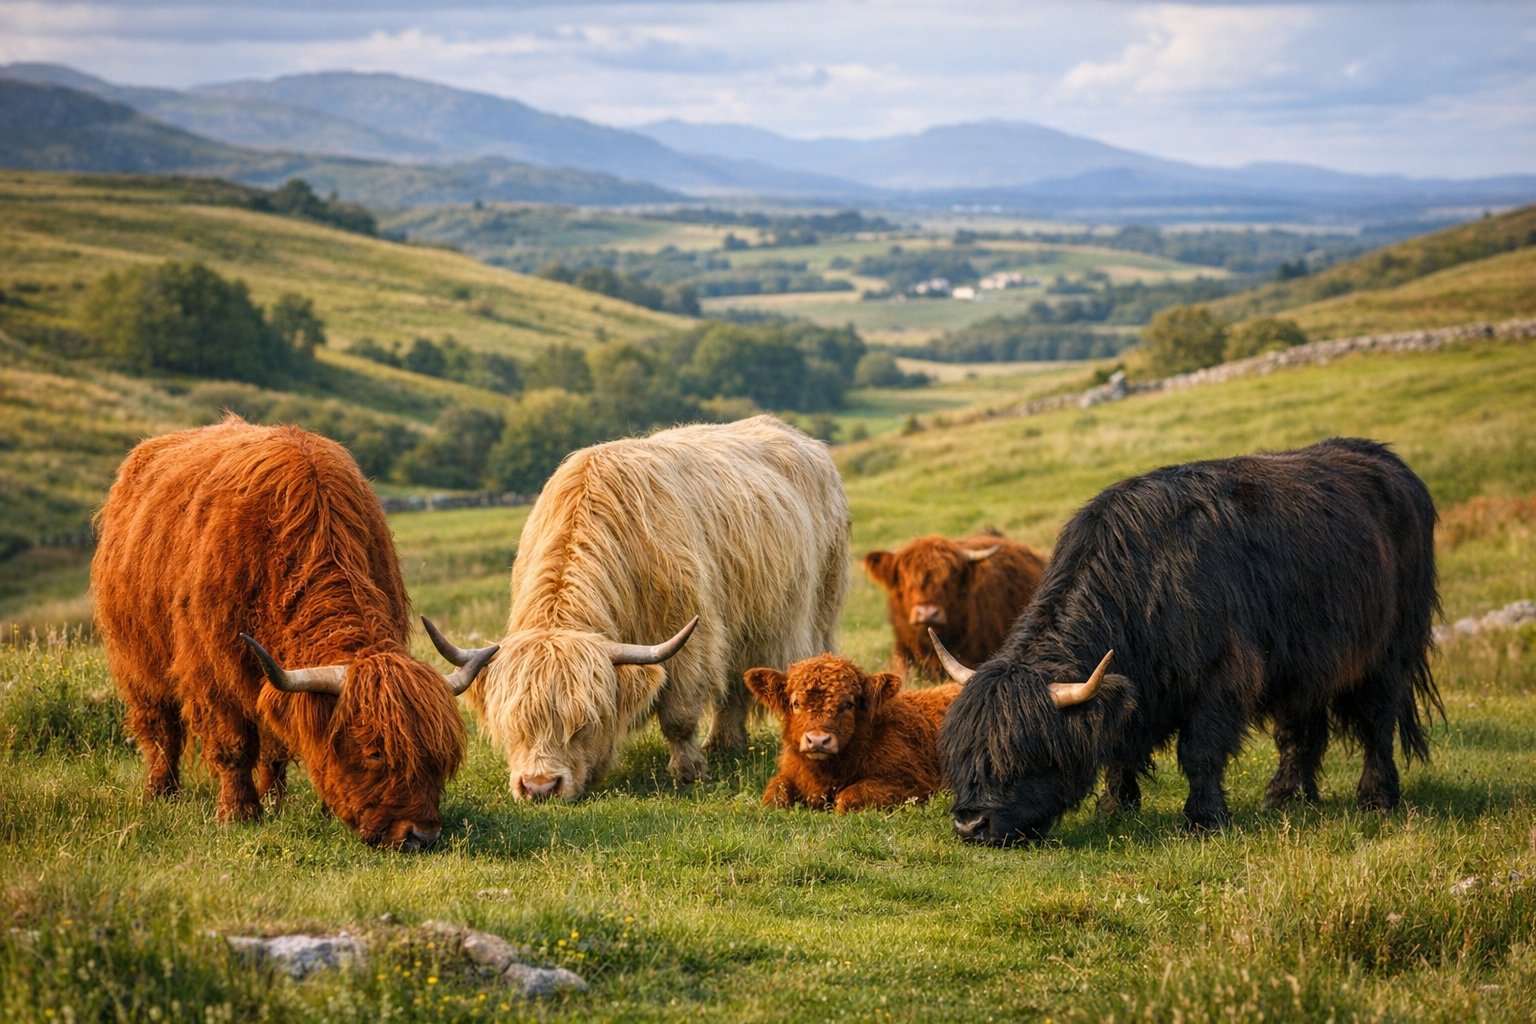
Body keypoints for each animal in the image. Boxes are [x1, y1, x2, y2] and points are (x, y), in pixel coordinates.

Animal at [92, 416, 496, 851]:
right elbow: (233, 745)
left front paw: (285, 804)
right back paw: (161, 792)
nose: (422, 835)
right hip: (136, 660)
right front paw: (238, 813)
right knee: (160, 729)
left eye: (440, 756)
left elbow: (279, 743)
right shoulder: (212, 674)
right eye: (374, 752)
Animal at [467, 415, 849, 801]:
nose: (540, 787)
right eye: (512, 725)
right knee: (732, 687)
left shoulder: (690, 640)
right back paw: (725, 745)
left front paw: (688, 770)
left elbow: (678, 718)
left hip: (818, 607)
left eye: (585, 723)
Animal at [746, 654, 960, 813]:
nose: (817, 740)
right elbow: (774, 794)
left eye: (848, 704)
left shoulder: (913, 783)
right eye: (796, 703)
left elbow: (848, 796)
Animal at [935, 438, 1441, 845]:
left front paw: (1205, 820)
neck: (1140, 581)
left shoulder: (1220, 678)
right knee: (1300, 732)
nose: (970, 825)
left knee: (1377, 721)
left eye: (1020, 752)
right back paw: (1284, 799)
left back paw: (1376, 798)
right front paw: (1115, 810)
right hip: (1306, 664)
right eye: (961, 750)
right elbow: (1119, 752)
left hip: (1389, 651)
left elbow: (1199, 752)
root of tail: (1388, 461)